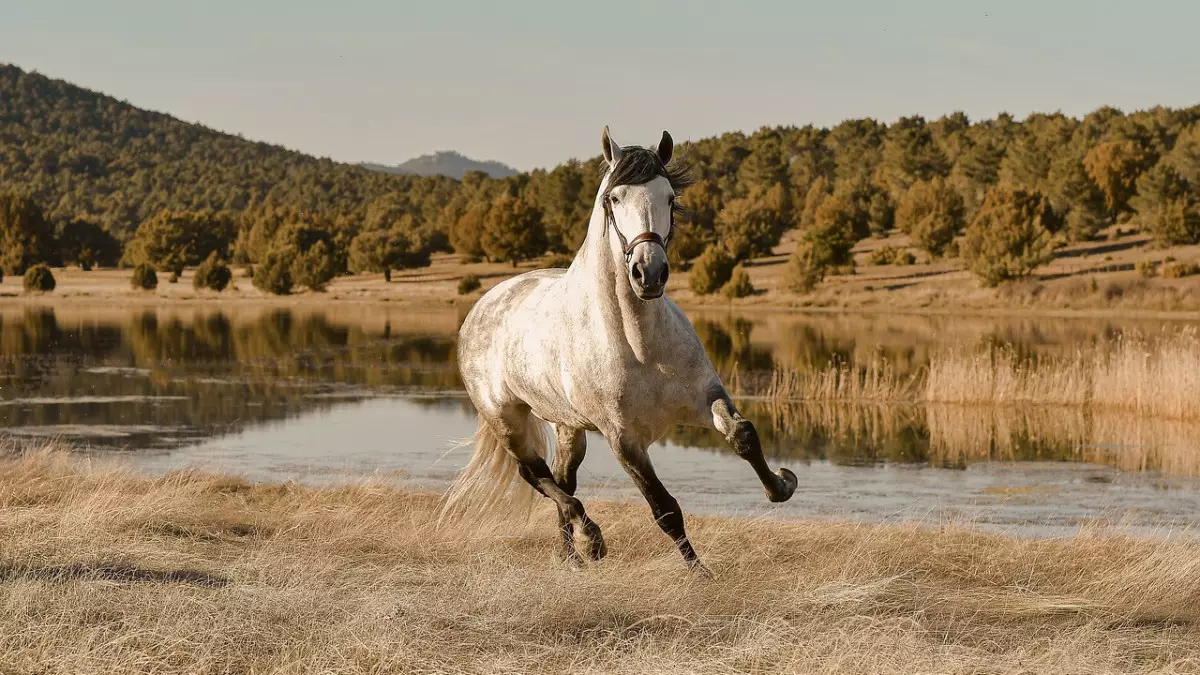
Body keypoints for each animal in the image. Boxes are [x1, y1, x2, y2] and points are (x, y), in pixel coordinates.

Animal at [444, 124, 796, 566]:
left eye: (670, 197)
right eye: (613, 198)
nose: (649, 273)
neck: (639, 345)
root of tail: (482, 306)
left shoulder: (704, 398)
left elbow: (743, 434)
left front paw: (781, 484)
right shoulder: (623, 440)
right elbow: (665, 511)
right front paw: (701, 575)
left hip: (567, 426)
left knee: (561, 479)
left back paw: (571, 557)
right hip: (507, 420)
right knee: (535, 474)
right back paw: (590, 539)